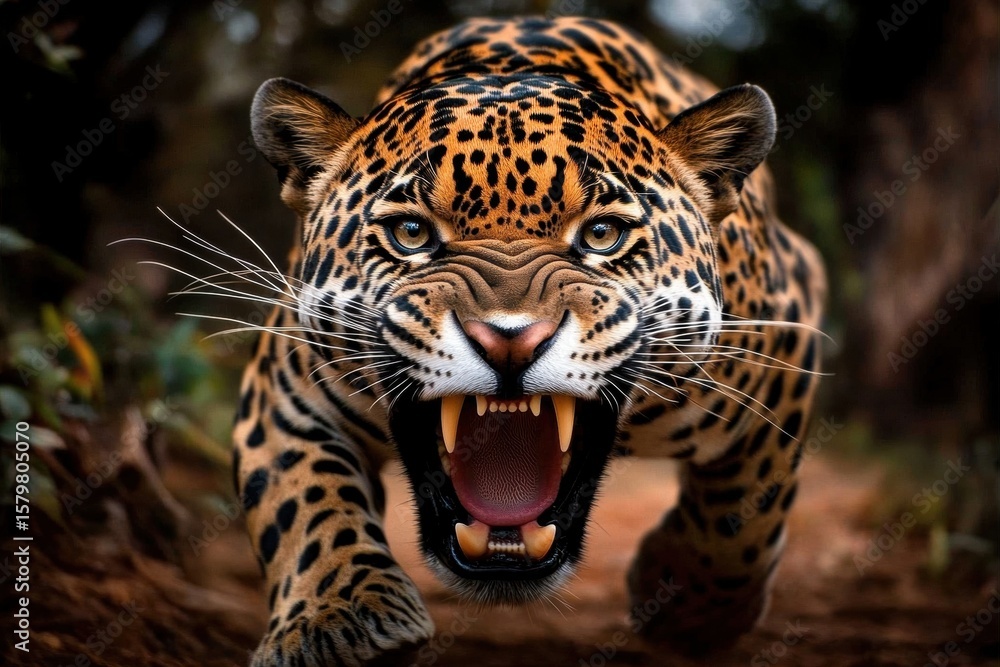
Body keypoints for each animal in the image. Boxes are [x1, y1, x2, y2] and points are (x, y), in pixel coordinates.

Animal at [232, 15, 826, 666]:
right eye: (411, 232)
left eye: (602, 234)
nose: (509, 340)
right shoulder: (287, 394)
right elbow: (305, 499)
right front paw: (337, 621)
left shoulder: (788, 341)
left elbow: (744, 509)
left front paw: (688, 605)